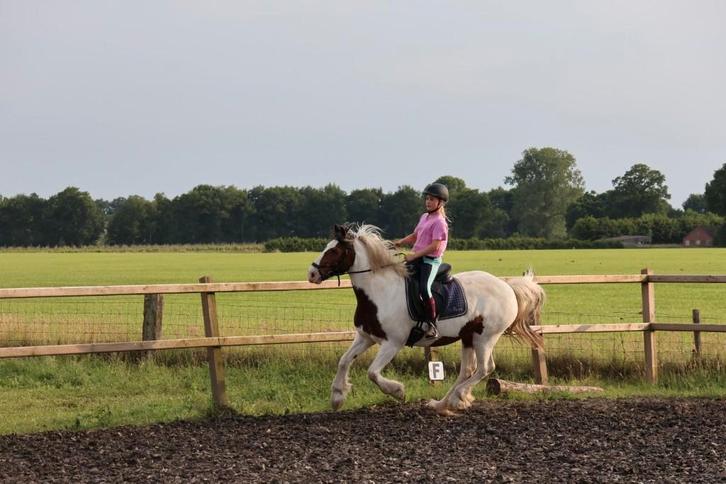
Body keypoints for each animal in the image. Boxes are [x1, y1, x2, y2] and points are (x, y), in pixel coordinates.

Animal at [307, 224, 545, 416]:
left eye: (334, 250)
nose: (311, 274)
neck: (379, 292)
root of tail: (507, 286)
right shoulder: (366, 337)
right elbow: (344, 361)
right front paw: (337, 397)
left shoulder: (393, 343)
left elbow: (372, 373)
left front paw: (398, 391)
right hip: (468, 336)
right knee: (468, 370)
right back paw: (442, 404)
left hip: (485, 337)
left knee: (485, 368)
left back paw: (458, 397)